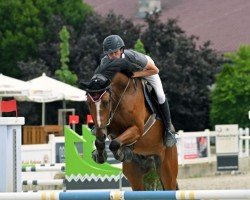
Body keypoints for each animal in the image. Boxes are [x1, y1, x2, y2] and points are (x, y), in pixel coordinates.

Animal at [81, 60, 179, 190]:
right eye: (88, 103)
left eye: (106, 102)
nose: (101, 134)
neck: (122, 95)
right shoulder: (109, 125)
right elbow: (102, 141)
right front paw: (100, 155)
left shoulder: (137, 129)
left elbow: (115, 143)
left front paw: (121, 154)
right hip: (135, 174)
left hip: (167, 170)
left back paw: (169, 136)